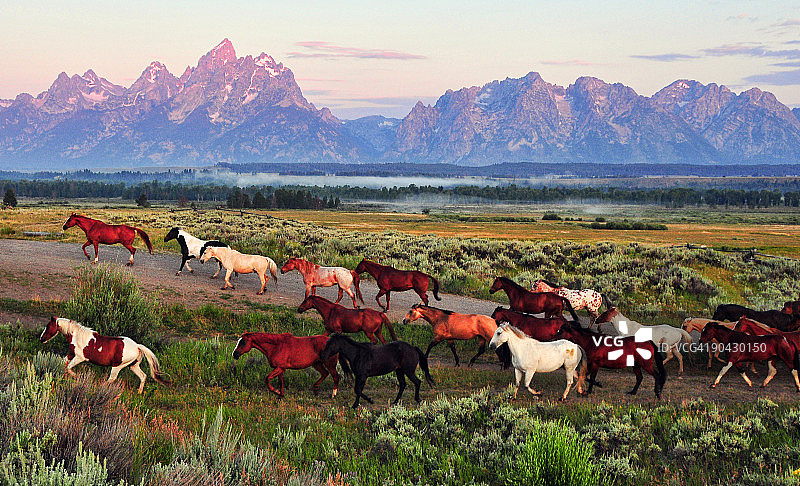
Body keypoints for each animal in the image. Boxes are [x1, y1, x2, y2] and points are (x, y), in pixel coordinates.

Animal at [39, 317, 169, 394]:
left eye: (48, 326)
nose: (41, 339)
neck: (76, 336)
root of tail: (137, 346)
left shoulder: (80, 357)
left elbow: (68, 367)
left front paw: (76, 376)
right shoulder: (71, 353)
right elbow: (63, 364)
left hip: (118, 365)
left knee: (112, 378)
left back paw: (100, 387)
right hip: (133, 366)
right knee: (143, 376)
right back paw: (139, 392)